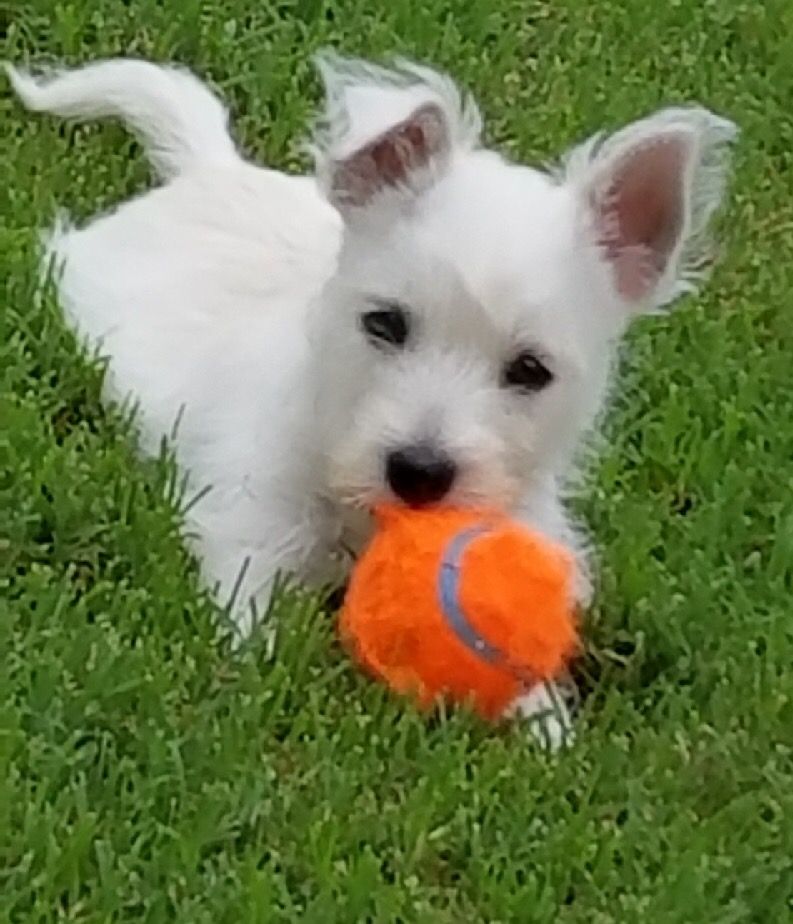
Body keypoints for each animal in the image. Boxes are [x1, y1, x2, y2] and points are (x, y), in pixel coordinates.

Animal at [6, 54, 736, 740]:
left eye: (530, 370)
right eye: (384, 323)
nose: (419, 471)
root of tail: (210, 169)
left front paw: (546, 728)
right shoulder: (251, 524)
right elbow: (249, 616)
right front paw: (262, 682)